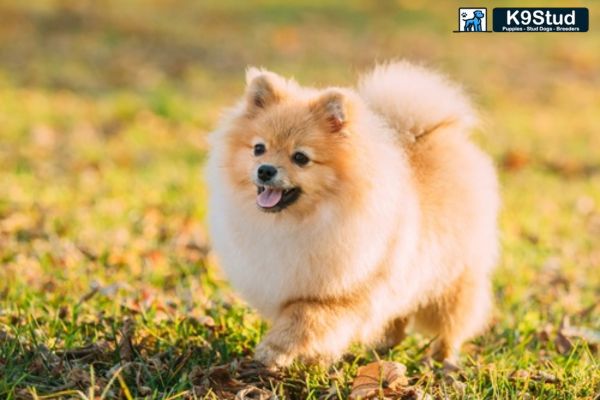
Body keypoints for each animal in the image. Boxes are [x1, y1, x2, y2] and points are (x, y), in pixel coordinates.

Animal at [204, 61, 500, 368]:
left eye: (300, 158)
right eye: (259, 148)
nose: (265, 170)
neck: (298, 222)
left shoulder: (343, 294)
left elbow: (303, 319)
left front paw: (274, 351)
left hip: (452, 279)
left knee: (450, 325)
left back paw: (443, 360)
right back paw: (384, 348)